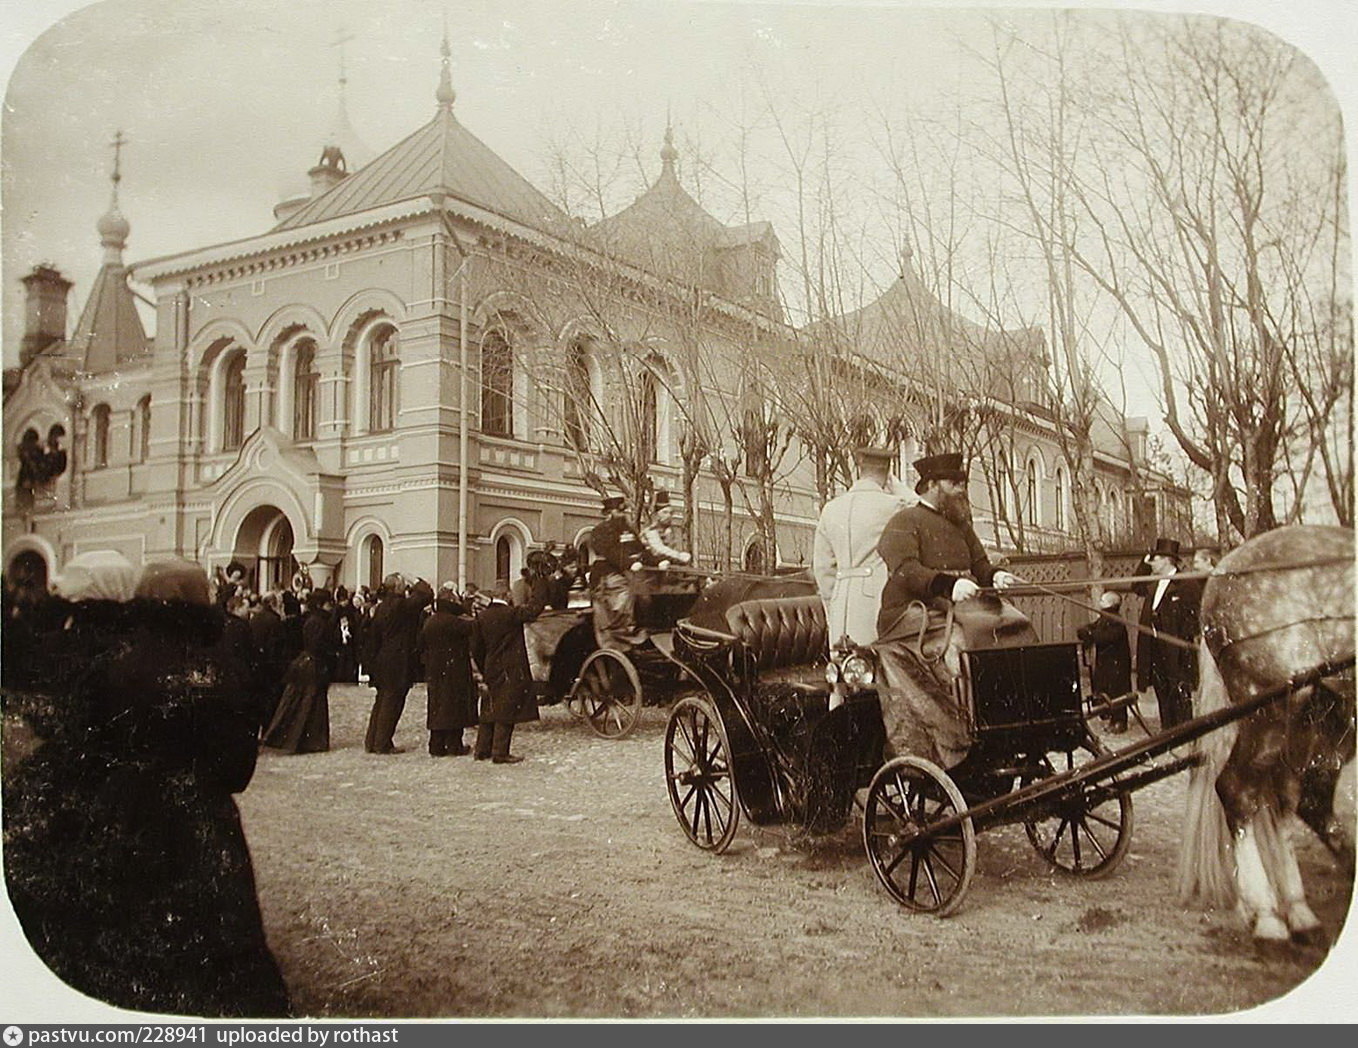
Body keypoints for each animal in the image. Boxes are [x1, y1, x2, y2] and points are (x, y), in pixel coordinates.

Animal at [1173, 524, 1352, 939]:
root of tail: (1223, 568)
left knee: (1293, 795)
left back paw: (1298, 909)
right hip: (1272, 703)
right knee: (1240, 789)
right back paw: (1268, 915)